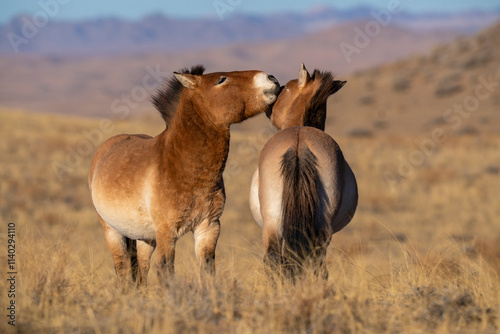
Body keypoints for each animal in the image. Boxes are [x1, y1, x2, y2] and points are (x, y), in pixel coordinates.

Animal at [88, 64, 280, 284]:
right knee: (122, 269)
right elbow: (166, 271)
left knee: (142, 269)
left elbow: (207, 269)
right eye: (221, 79)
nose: (271, 78)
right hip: (112, 231)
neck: (184, 169)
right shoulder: (167, 232)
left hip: (145, 237)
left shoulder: (208, 227)